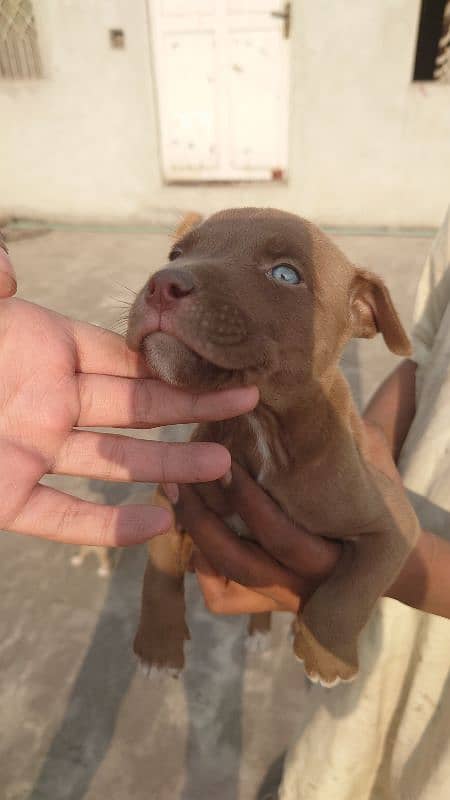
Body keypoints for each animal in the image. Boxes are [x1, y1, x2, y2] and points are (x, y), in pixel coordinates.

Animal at [125, 208, 418, 688]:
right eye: (175, 254)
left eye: (285, 274)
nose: (162, 284)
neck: (259, 429)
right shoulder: (174, 494)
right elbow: (159, 570)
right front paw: (158, 647)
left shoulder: (394, 524)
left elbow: (353, 588)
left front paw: (327, 656)